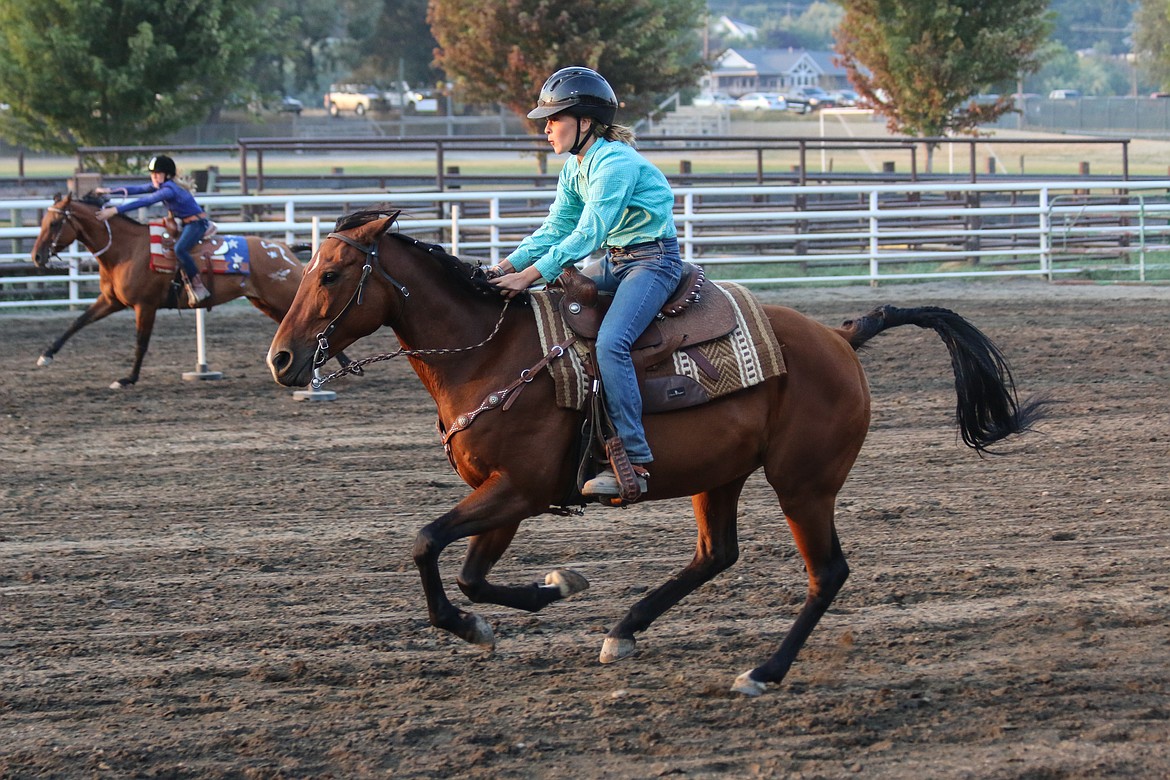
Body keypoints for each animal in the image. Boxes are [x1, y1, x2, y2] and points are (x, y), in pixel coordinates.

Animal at [27, 191, 346, 388]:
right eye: (43, 221)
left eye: (54, 223)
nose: (37, 257)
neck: (127, 249)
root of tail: (282, 247)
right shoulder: (111, 300)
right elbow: (78, 321)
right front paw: (46, 355)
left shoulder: (145, 305)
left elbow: (141, 342)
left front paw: (128, 379)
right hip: (265, 301)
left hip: (283, 294)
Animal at [267, 206, 1043, 696]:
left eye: (331, 275)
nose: (282, 360)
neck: (489, 354)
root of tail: (839, 335)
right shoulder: (508, 495)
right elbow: (470, 573)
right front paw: (550, 590)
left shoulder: (519, 488)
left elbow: (428, 543)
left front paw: (476, 623)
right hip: (722, 475)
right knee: (716, 554)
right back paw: (626, 630)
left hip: (804, 484)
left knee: (827, 573)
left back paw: (762, 673)